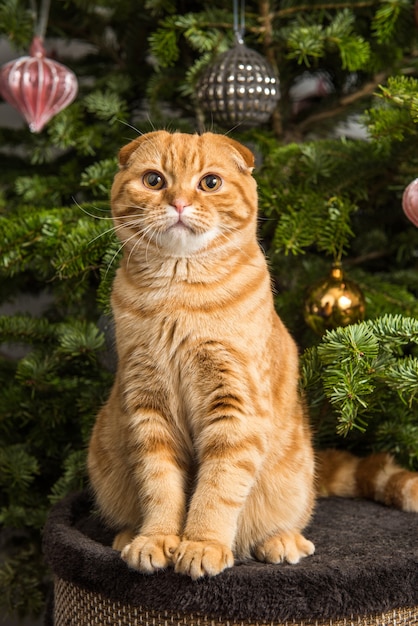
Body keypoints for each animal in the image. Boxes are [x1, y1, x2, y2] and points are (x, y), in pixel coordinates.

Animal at [86, 129, 416, 576]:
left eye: (209, 182)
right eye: (154, 180)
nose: (179, 202)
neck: (177, 295)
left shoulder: (236, 405)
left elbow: (217, 487)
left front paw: (202, 544)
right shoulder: (147, 405)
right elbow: (160, 485)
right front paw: (157, 539)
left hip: (293, 481)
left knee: (284, 518)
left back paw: (280, 541)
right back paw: (127, 535)